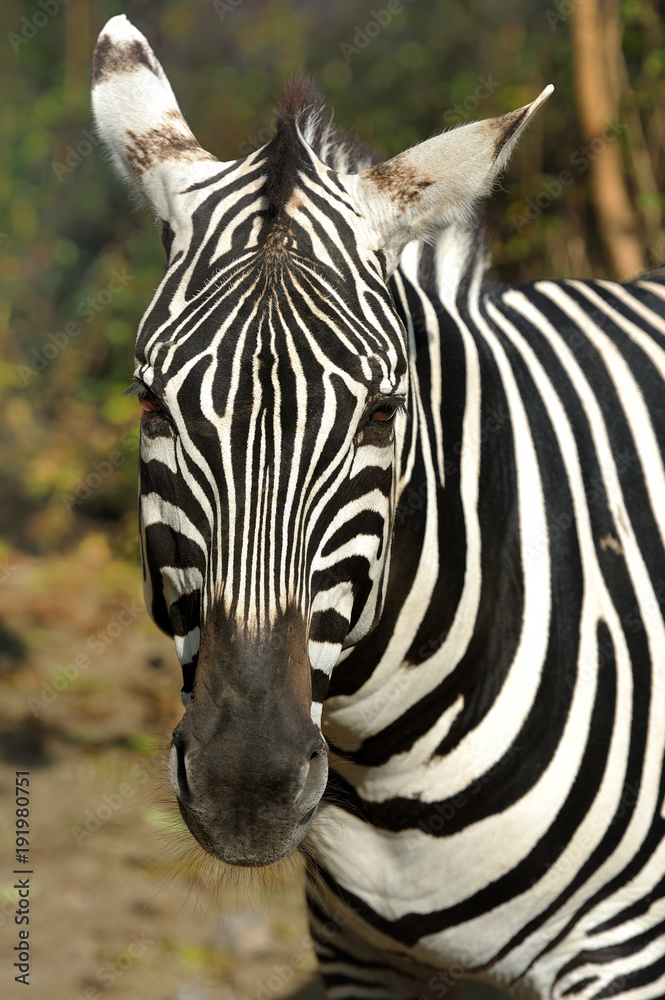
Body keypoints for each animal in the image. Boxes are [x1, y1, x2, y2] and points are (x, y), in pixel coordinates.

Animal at [92, 14, 665, 1000]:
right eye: (150, 403)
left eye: (383, 412)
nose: (246, 788)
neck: (391, 763)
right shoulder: (356, 956)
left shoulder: (626, 953)